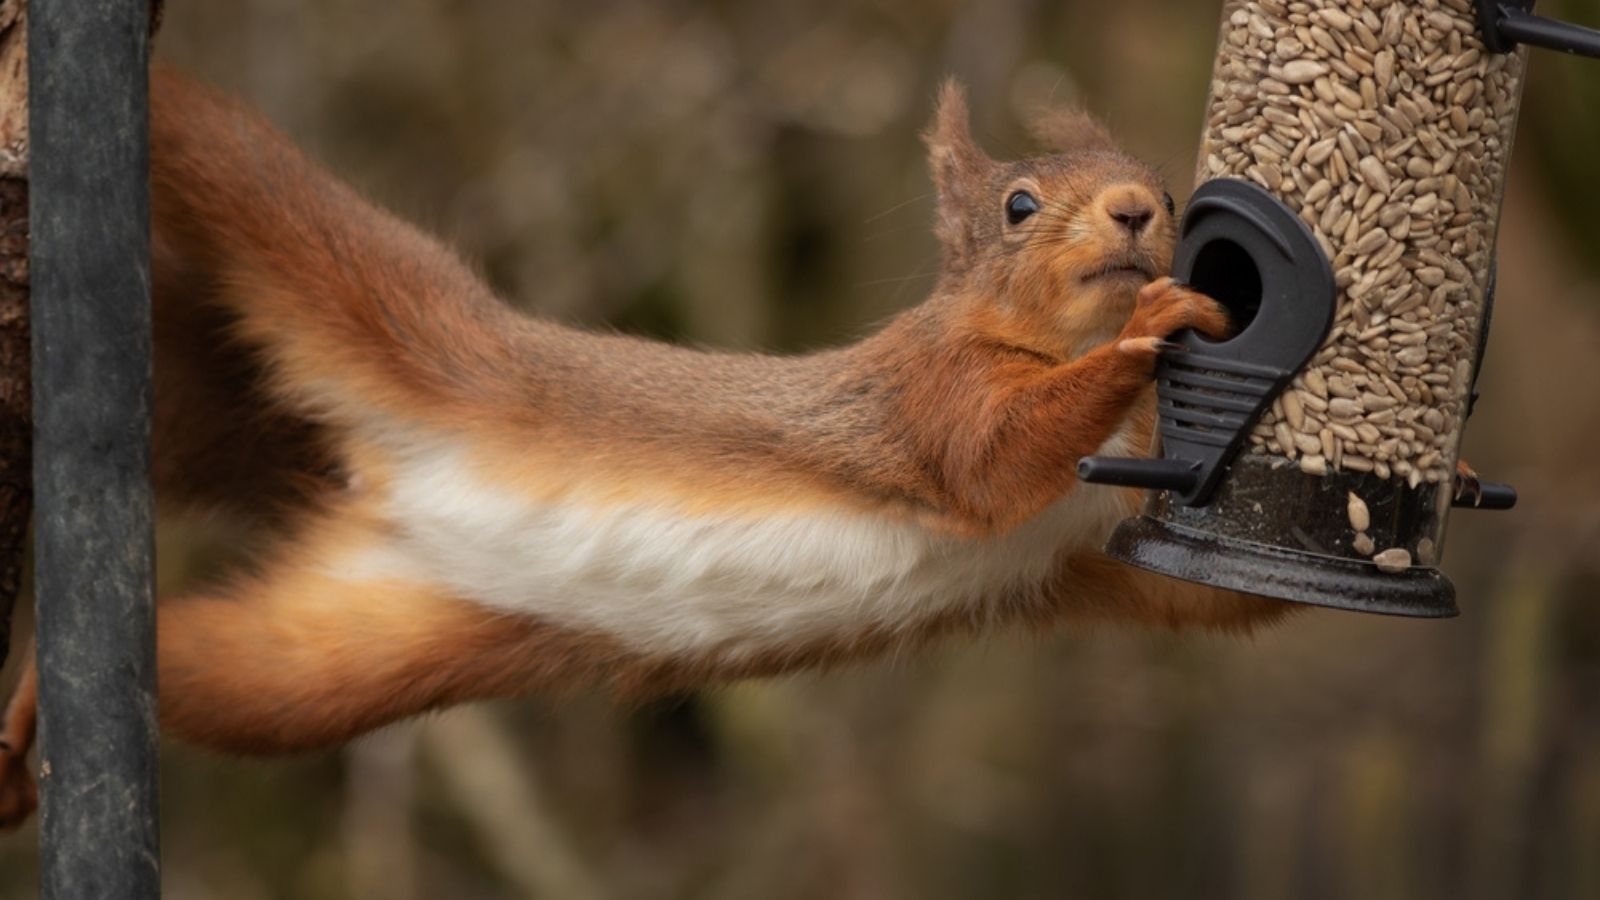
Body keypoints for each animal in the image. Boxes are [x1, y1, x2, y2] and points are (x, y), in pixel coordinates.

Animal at [0, 67, 1288, 829]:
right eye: (1018, 206)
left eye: (1165, 187)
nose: (1136, 209)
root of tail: (379, 479)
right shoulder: (922, 404)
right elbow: (988, 463)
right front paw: (1151, 325)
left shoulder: (1091, 545)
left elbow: (1213, 606)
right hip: (346, 262)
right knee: (219, 154)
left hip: (335, 660)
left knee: (203, 665)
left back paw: (29, 716)